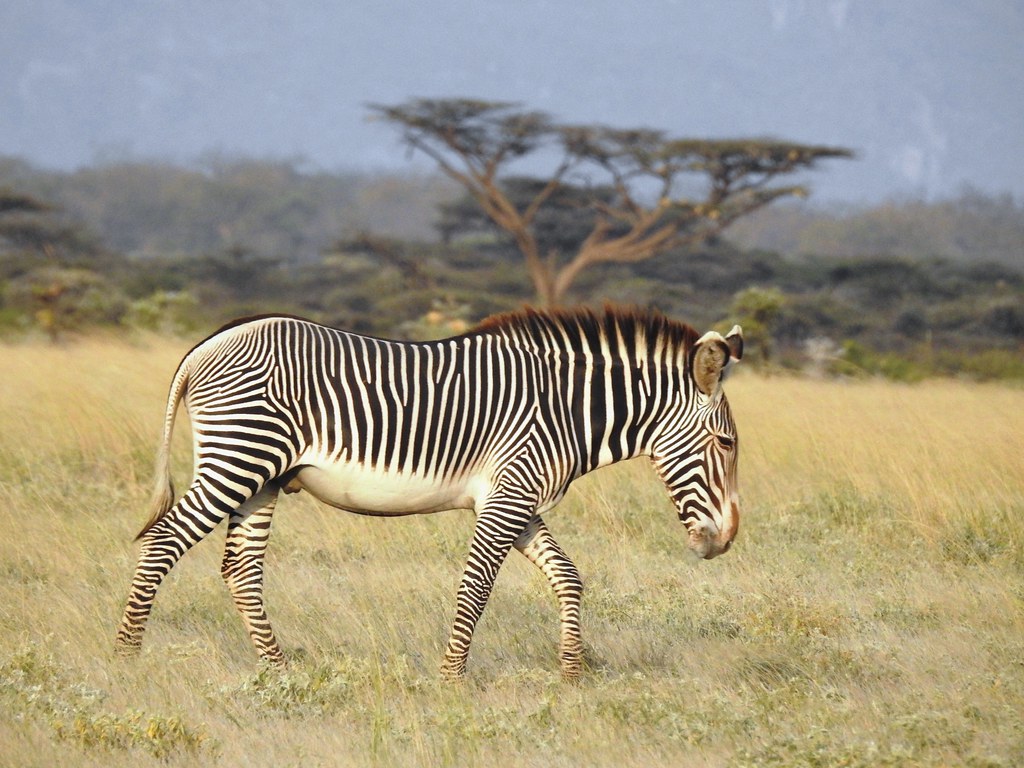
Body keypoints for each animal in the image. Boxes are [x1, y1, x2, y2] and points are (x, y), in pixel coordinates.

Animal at [116, 306, 743, 680]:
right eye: (726, 444)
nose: (727, 541)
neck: (566, 412)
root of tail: (208, 343)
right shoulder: (510, 493)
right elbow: (476, 587)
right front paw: (452, 680)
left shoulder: (518, 497)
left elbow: (568, 577)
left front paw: (572, 672)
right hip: (239, 457)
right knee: (164, 541)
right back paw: (126, 659)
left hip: (263, 475)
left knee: (241, 567)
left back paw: (279, 670)